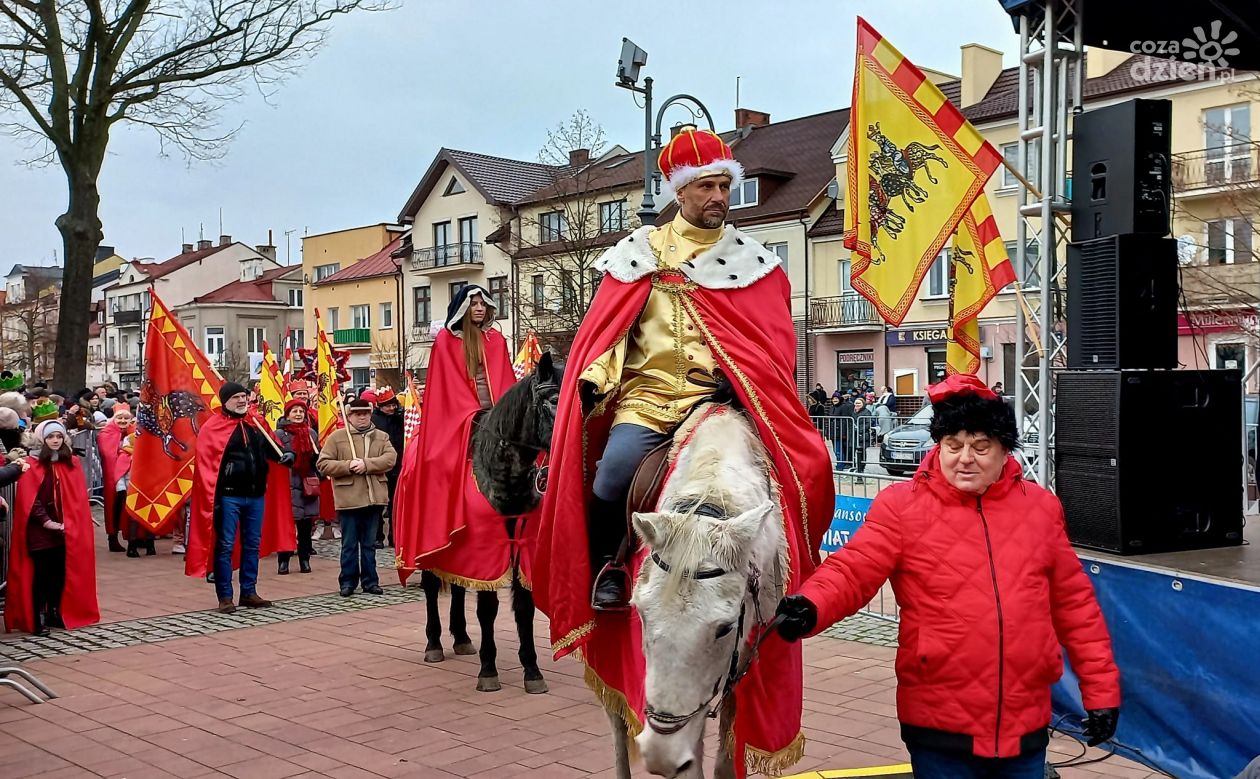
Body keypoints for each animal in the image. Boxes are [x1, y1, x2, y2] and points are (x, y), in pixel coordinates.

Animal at [446, 350, 564, 690]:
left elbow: (523, 607)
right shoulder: (487, 546)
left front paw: (532, 670)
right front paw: (488, 670)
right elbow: (488, 609)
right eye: (552, 400)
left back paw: (461, 638)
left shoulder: (522, 545)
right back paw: (433, 645)